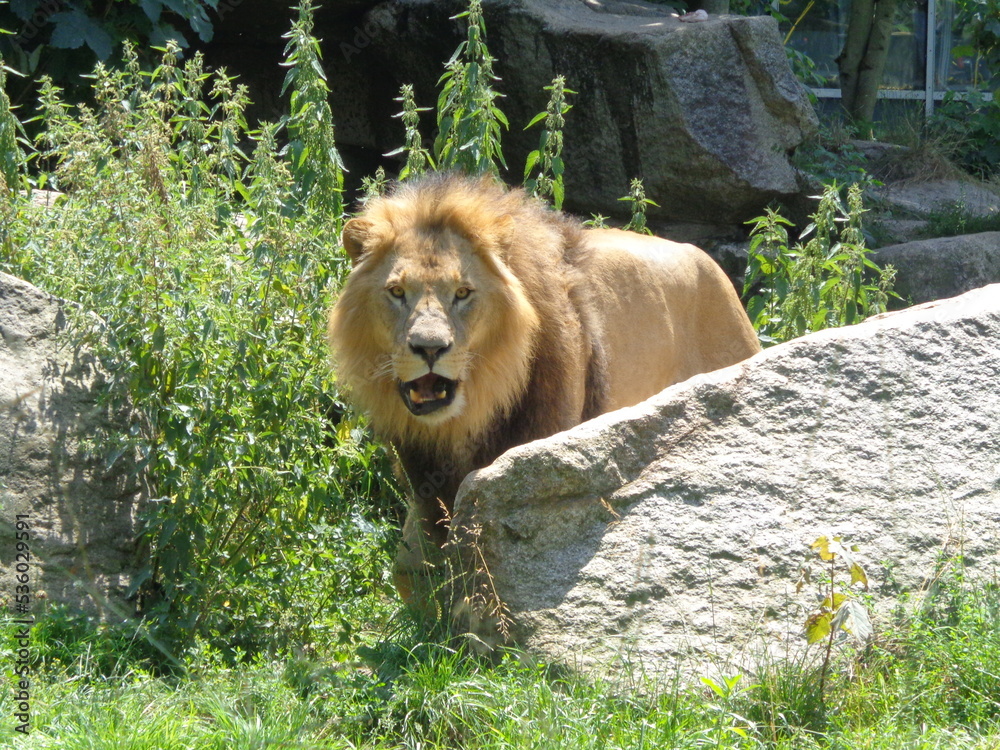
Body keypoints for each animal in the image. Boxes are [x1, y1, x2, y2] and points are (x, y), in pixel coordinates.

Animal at [328, 173, 760, 602]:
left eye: (463, 292)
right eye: (397, 292)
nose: (429, 348)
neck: (468, 416)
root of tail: (708, 261)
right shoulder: (423, 490)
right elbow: (413, 573)